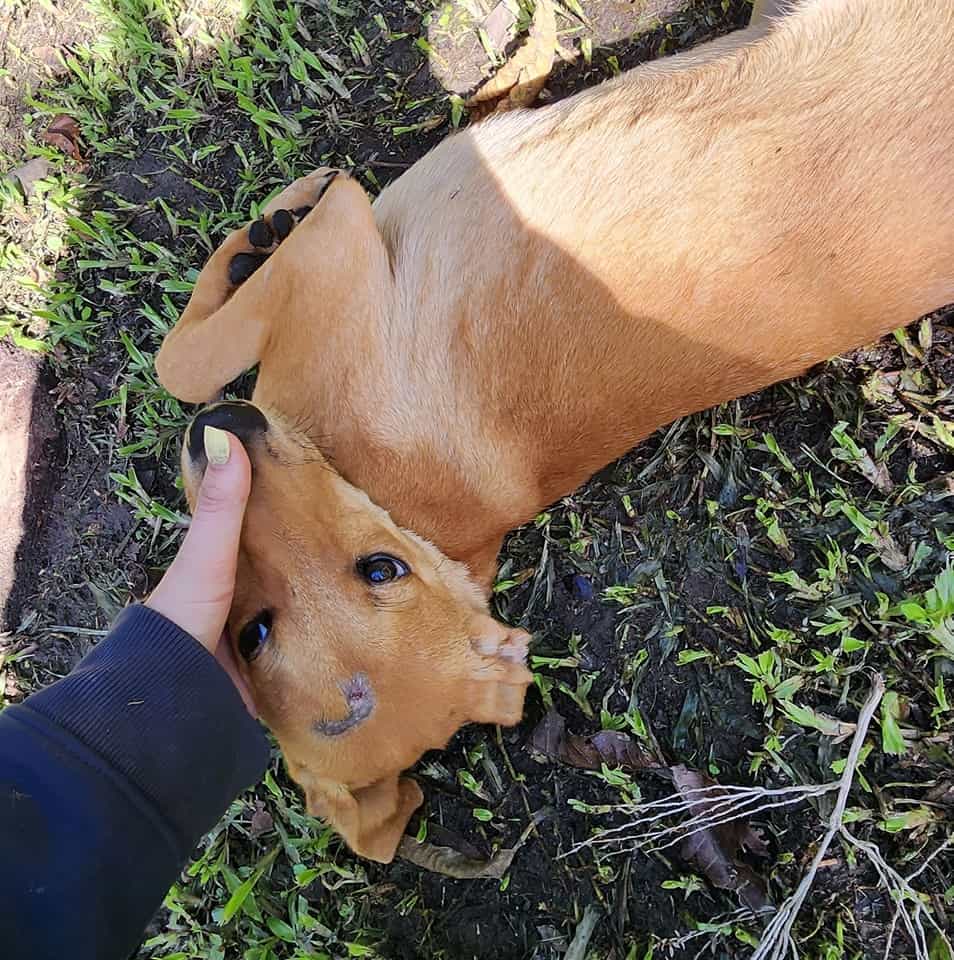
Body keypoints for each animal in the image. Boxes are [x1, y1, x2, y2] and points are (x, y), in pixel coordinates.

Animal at [156, 0, 952, 864]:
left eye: (381, 569)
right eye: (252, 634)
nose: (226, 436)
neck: (379, 487)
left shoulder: (340, 247)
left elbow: (183, 360)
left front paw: (266, 231)